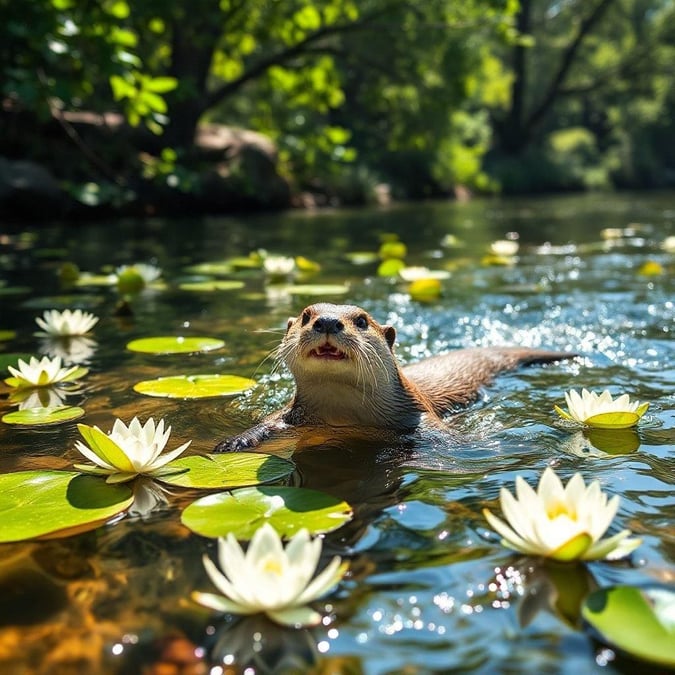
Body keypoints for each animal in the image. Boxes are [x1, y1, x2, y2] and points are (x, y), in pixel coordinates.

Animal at [214, 304, 572, 454]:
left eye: (360, 320)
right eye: (306, 315)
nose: (327, 321)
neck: (345, 415)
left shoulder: (418, 412)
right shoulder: (295, 414)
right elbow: (268, 423)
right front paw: (236, 441)